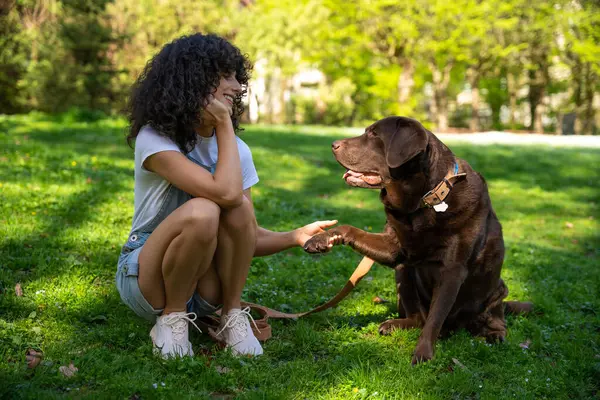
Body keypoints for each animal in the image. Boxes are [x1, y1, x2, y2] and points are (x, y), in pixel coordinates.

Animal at [304, 116, 528, 366]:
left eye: (374, 135)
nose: (333, 144)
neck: (423, 201)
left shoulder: (453, 271)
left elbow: (435, 318)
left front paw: (423, 353)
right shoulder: (394, 248)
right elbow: (350, 229)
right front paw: (321, 238)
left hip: (497, 289)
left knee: (494, 318)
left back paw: (493, 334)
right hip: (404, 273)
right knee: (418, 316)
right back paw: (396, 324)